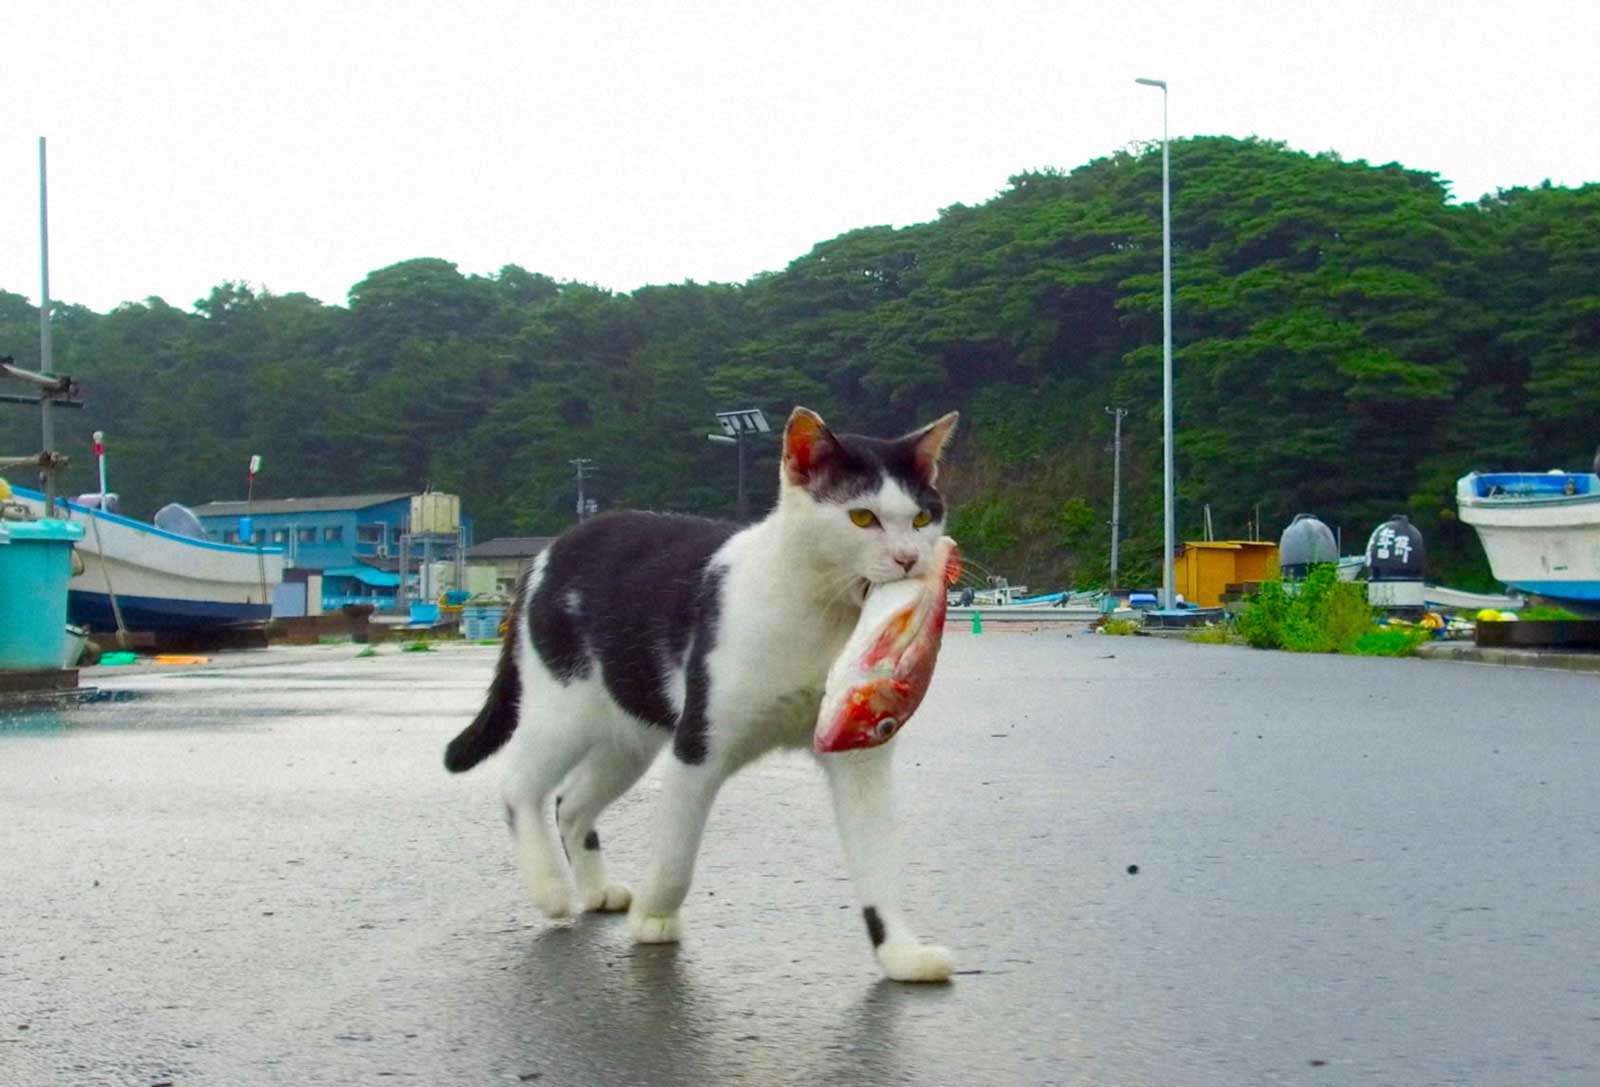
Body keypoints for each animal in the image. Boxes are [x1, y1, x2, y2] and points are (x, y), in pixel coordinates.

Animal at [444, 408, 953, 986]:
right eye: (862, 518)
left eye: (922, 517)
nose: (910, 558)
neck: (820, 617)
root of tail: (548, 551)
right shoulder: (697, 747)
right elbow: (676, 853)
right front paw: (655, 916)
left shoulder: (859, 751)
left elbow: (878, 864)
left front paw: (900, 952)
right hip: (563, 710)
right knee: (519, 786)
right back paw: (550, 888)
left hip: (626, 737)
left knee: (570, 803)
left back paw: (594, 890)